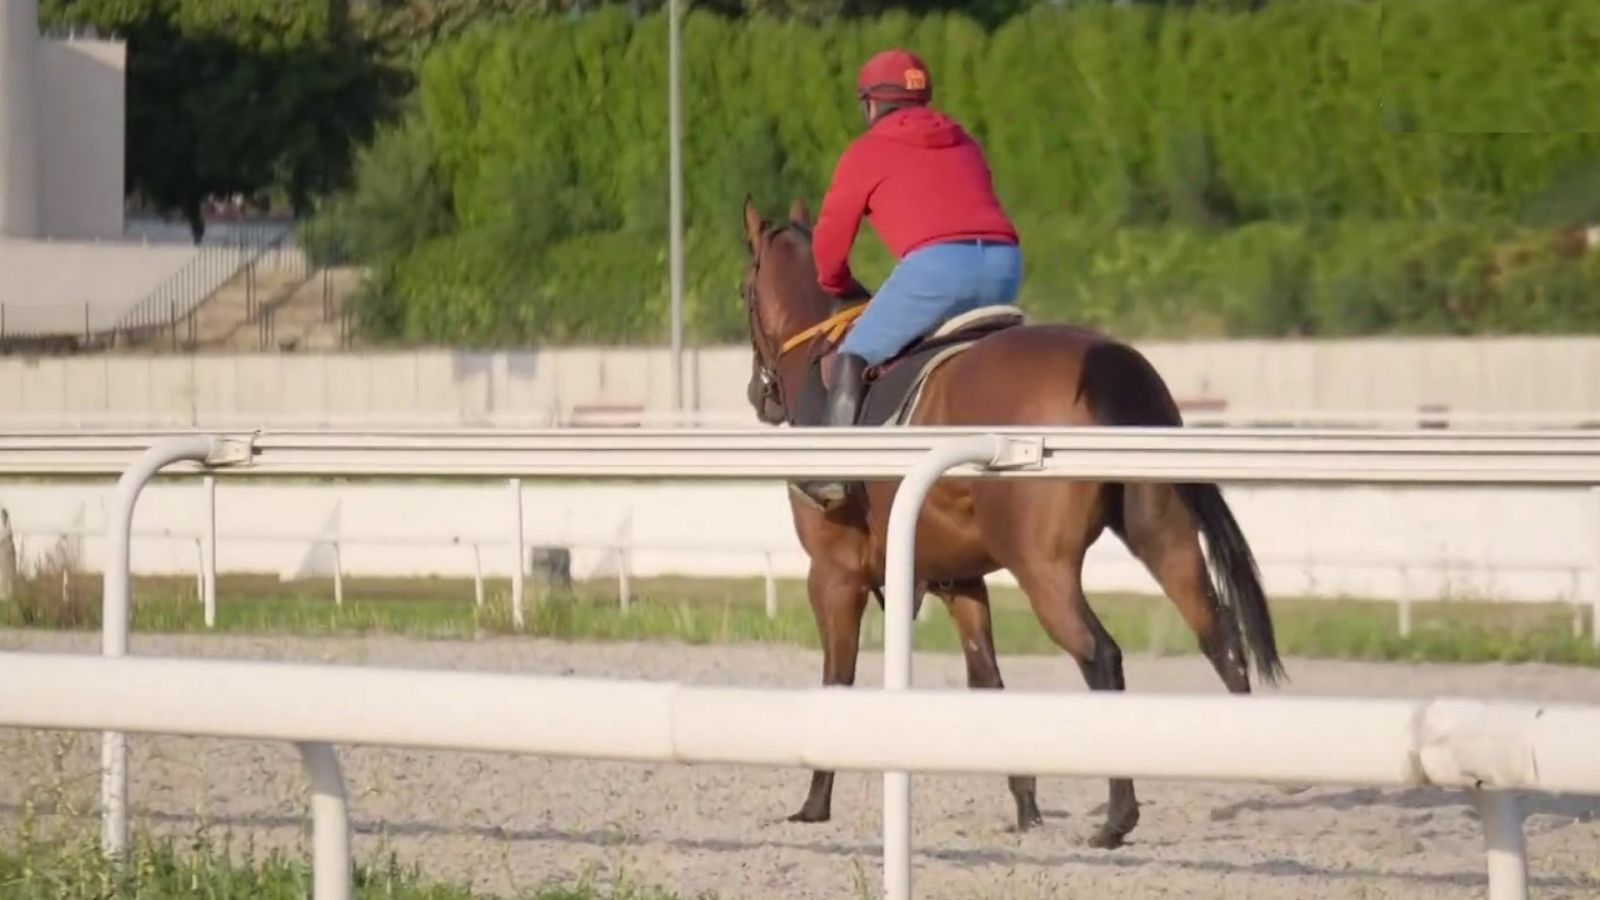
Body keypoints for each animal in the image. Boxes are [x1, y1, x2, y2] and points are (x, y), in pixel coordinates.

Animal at [739, 192, 1286, 845]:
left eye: (744, 290)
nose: (759, 397)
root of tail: (1108, 360)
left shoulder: (833, 574)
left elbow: (837, 677)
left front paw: (814, 801)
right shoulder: (958, 579)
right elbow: (987, 680)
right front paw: (1026, 806)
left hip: (1042, 567)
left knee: (1101, 655)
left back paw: (1117, 818)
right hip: (1165, 537)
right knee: (1218, 635)